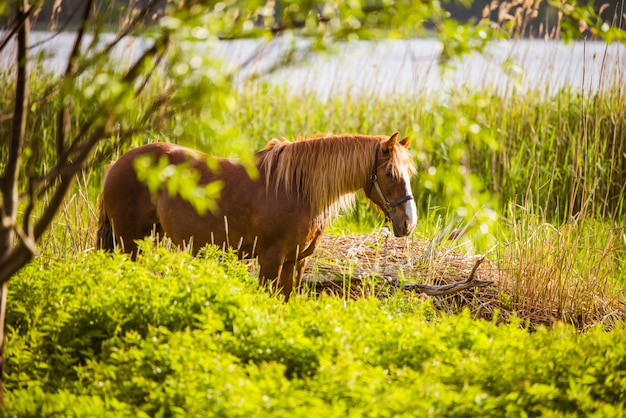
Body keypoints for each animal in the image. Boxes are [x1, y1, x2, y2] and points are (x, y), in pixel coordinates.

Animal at [96, 132, 414, 298]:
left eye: (409, 173)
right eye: (389, 173)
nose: (409, 223)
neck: (297, 188)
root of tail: (116, 164)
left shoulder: (296, 261)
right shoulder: (270, 259)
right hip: (129, 244)